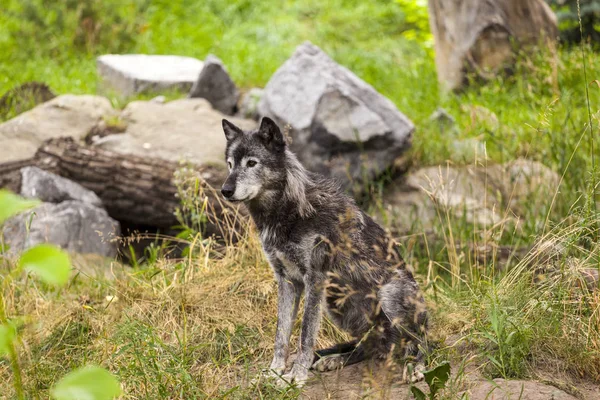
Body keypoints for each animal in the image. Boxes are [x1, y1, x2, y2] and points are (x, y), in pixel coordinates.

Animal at [223, 117, 428, 386]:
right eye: (229, 164)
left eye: (251, 163)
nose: (225, 190)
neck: (286, 211)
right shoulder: (287, 281)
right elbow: (281, 335)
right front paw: (274, 371)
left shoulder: (315, 279)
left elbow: (305, 336)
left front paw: (295, 376)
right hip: (337, 305)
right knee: (370, 345)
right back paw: (336, 359)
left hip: (388, 297)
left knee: (423, 341)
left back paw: (417, 366)